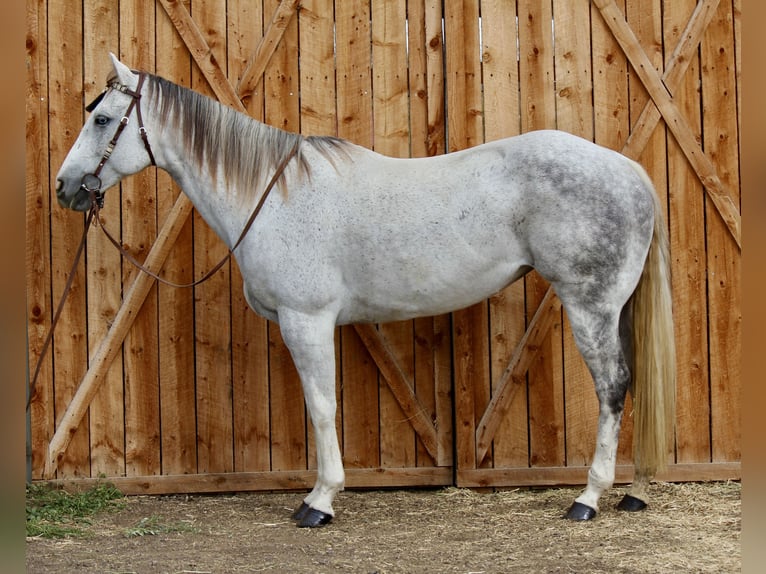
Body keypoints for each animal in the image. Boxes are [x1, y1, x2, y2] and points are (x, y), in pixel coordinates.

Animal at [55, 53, 675, 527]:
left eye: (103, 119)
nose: (65, 187)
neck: (273, 194)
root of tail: (630, 171)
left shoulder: (306, 320)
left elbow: (322, 406)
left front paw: (320, 501)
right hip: (616, 308)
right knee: (636, 384)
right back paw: (634, 491)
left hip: (590, 305)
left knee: (613, 388)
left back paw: (587, 498)